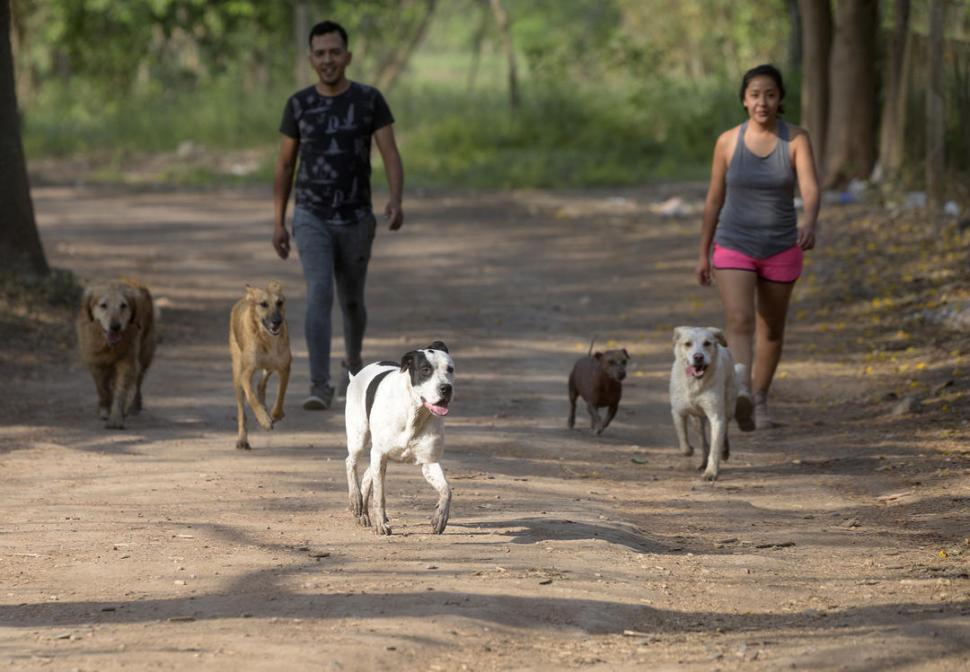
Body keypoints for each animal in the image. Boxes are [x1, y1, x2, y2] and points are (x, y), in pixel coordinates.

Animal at [75, 280, 157, 430]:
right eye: (103, 305)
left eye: (123, 305)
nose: (115, 327)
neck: (108, 346)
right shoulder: (95, 362)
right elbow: (102, 388)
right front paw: (105, 409)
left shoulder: (127, 362)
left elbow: (120, 391)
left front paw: (116, 418)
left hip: (145, 352)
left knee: (138, 380)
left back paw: (134, 406)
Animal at [229, 280, 290, 448]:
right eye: (263, 304)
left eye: (280, 302)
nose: (277, 321)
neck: (267, 339)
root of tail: (245, 298)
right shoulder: (246, 373)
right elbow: (251, 397)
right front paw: (263, 420)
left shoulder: (284, 367)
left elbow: (281, 395)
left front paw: (274, 415)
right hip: (237, 375)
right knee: (242, 412)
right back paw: (242, 440)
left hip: (269, 366)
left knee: (261, 384)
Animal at [346, 342, 456, 536]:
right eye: (425, 369)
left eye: (450, 369)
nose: (446, 388)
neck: (414, 413)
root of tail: (357, 376)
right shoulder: (380, 454)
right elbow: (380, 496)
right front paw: (381, 525)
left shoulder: (429, 462)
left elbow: (446, 490)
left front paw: (440, 517)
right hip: (358, 438)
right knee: (350, 463)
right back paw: (356, 499)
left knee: (366, 476)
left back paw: (364, 514)